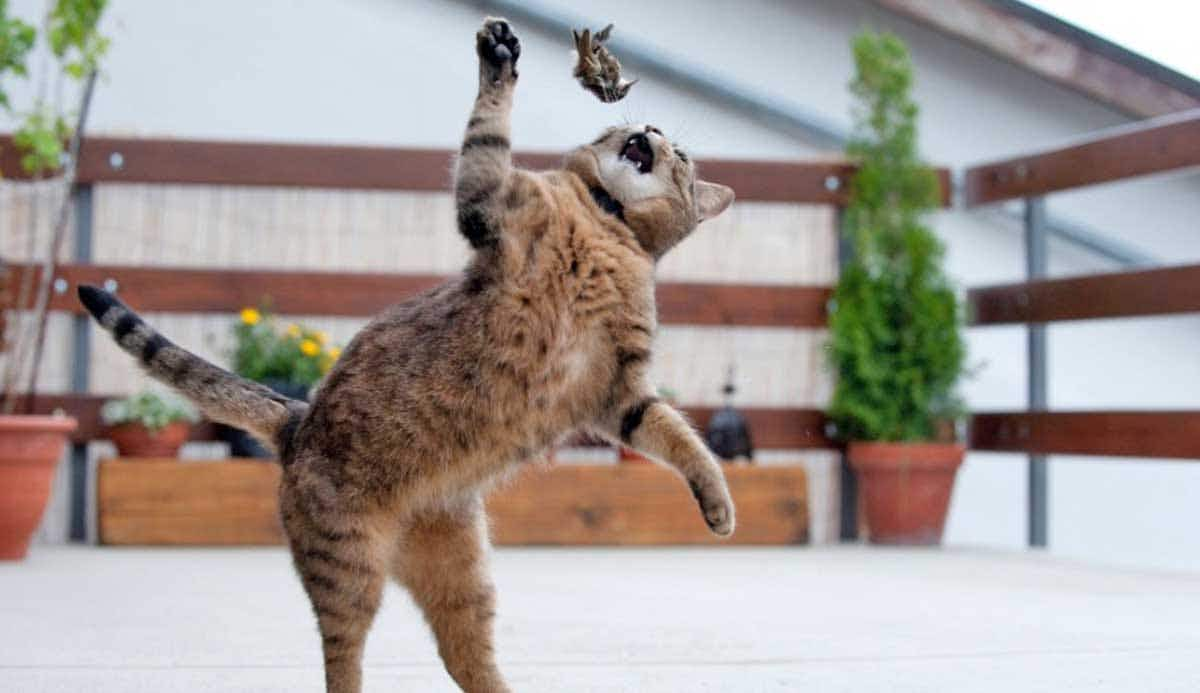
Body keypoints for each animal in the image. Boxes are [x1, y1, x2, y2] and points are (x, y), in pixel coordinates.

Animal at [79, 16, 734, 690]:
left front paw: (717, 508)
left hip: (463, 576)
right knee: (343, 661)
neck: (606, 220)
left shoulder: (617, 390)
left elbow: (683, 441)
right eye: (647, 133)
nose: (650, 131)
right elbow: (486, 130)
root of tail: (297, 419)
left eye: (681, 155)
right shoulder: (488, 203)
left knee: (465, 656)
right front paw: (499, 58)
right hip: (347, 571)